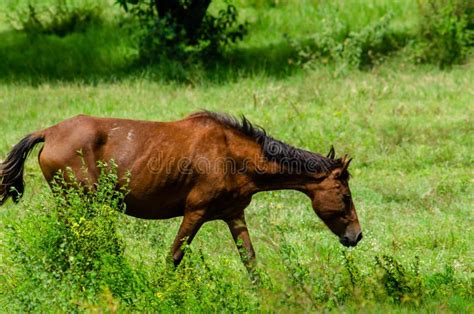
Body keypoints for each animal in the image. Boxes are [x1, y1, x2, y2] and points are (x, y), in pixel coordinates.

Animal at [0, 111, 362, 274]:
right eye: (345, 196)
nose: (356, 236)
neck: (232, 154)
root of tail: (49, 132)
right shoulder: (196, 213)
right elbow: (172, 258)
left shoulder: (233, 215)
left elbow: (250, 261)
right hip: (76, 202)